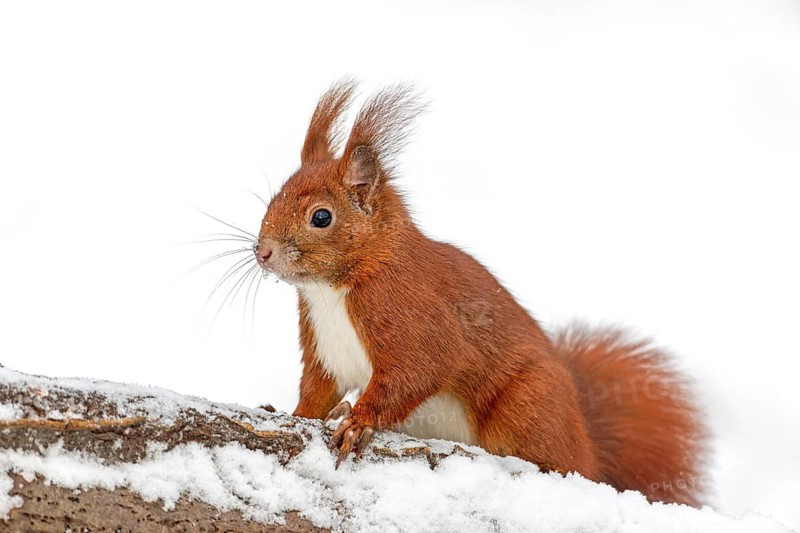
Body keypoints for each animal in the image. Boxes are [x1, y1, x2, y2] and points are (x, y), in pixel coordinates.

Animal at [254, 80, 707, 506]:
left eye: (321, 217)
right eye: (274, 198)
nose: (262, 252)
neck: (333, 289)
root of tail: (588, 444)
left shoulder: (410, 313)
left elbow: (418, 370)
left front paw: (358, 420)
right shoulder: (323, 347)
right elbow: (317, 389)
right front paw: (295, 412)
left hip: (528, 404)